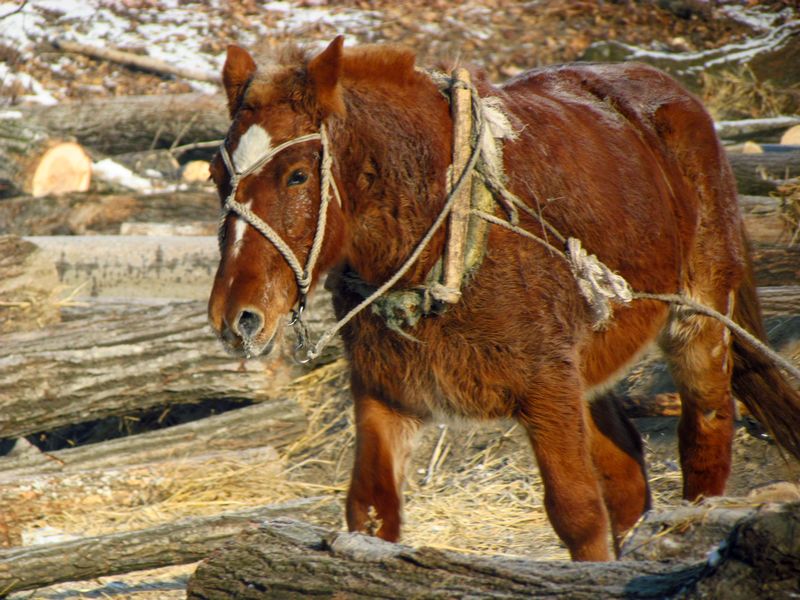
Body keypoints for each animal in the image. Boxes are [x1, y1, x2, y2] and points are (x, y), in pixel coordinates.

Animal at [206, 38, 800, 564]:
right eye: (217, 176)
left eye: (297, 175)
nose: (236, 317)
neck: (449, 238)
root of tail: (677, 98)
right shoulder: (387, 393)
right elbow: (372, 514)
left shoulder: (546, 388)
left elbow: (578, 514)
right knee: (627, 476)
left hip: (698, 321)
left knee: (705, 438)